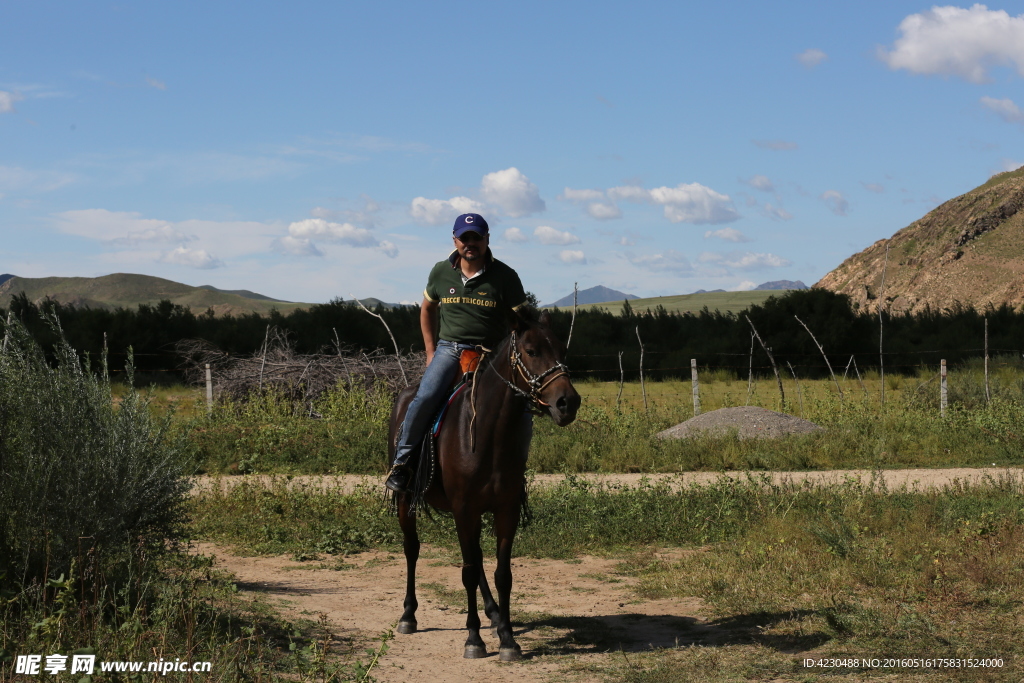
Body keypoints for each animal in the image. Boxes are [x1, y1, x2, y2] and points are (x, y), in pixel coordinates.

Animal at [387, 309, 581, 663]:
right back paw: (409, 615)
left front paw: (507, 638)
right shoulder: (465, 509)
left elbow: (501, 573)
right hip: (407, 502)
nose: (567, 402)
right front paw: (473, 639)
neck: (489, 433)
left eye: (562, 349)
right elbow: (466, 572)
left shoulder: (504, 511)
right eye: (531, 350)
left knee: (475, 560)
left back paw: (493, 615)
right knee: (413, 549)